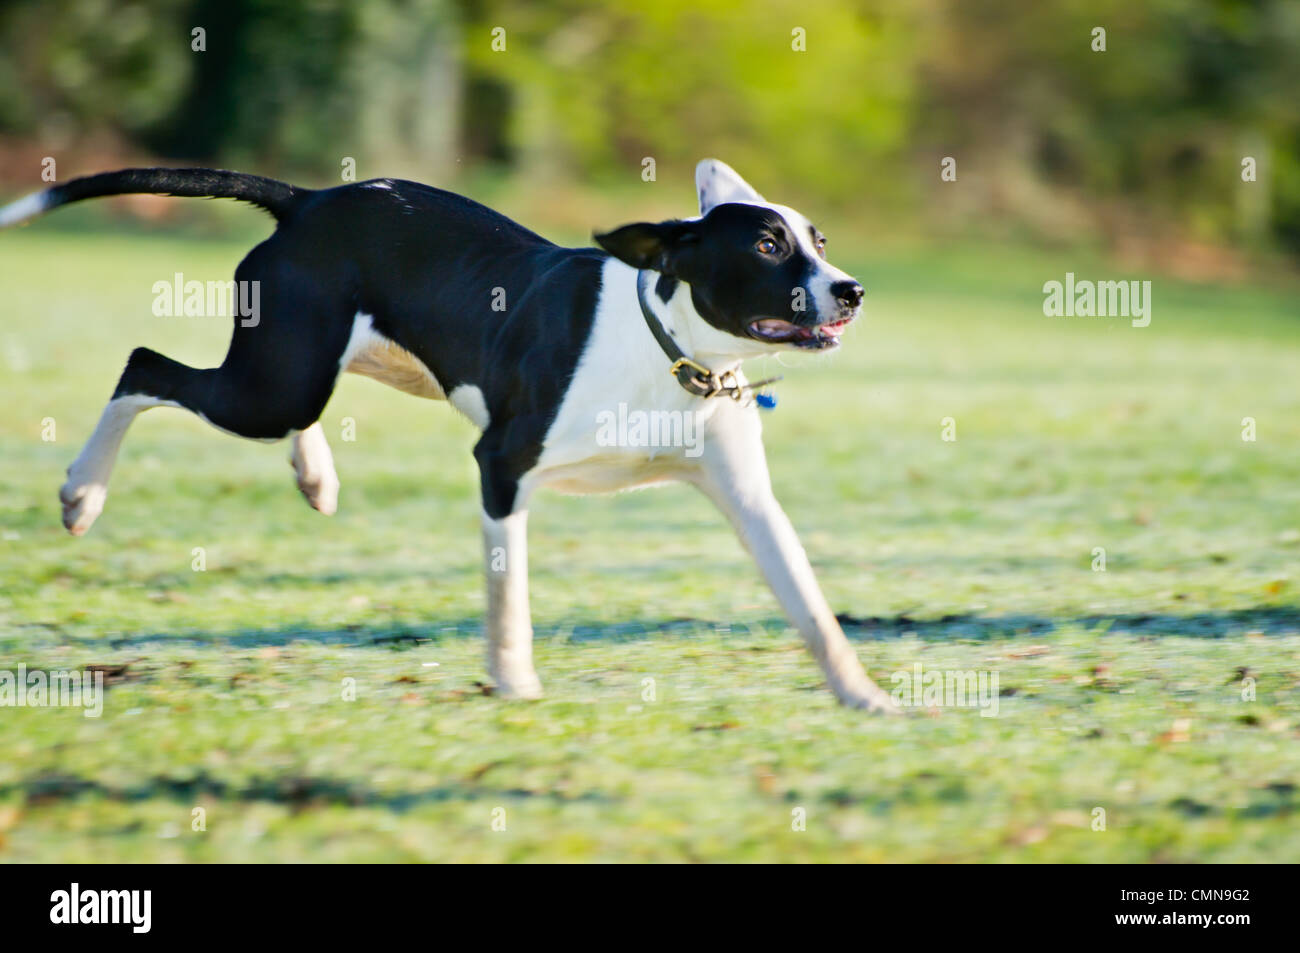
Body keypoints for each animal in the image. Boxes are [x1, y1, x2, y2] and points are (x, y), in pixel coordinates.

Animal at [0, 157, 894, 707]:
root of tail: (309, 200)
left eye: (817, 240)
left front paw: (864, 695)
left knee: (290, 403)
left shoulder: (750, 502)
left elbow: (812, 607)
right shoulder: (502, 464)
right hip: (271, 385)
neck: (668, 350)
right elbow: (509, 593)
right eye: (769, 245)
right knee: (143, 366)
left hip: (340, 361)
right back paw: (83, 492)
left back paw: (314, 475)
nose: (850, 290)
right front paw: (514, 679)